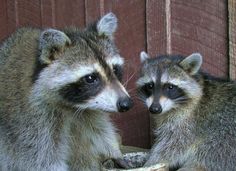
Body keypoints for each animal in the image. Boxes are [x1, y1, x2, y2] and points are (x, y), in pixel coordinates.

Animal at [0, 12, 133, 171]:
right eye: (90, 78)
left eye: (115, 69)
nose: (126, 103)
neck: (72, 105)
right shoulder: (32, 119)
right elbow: (41, 159)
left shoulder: (90, 110)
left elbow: (100, 130)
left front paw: (113, 150)